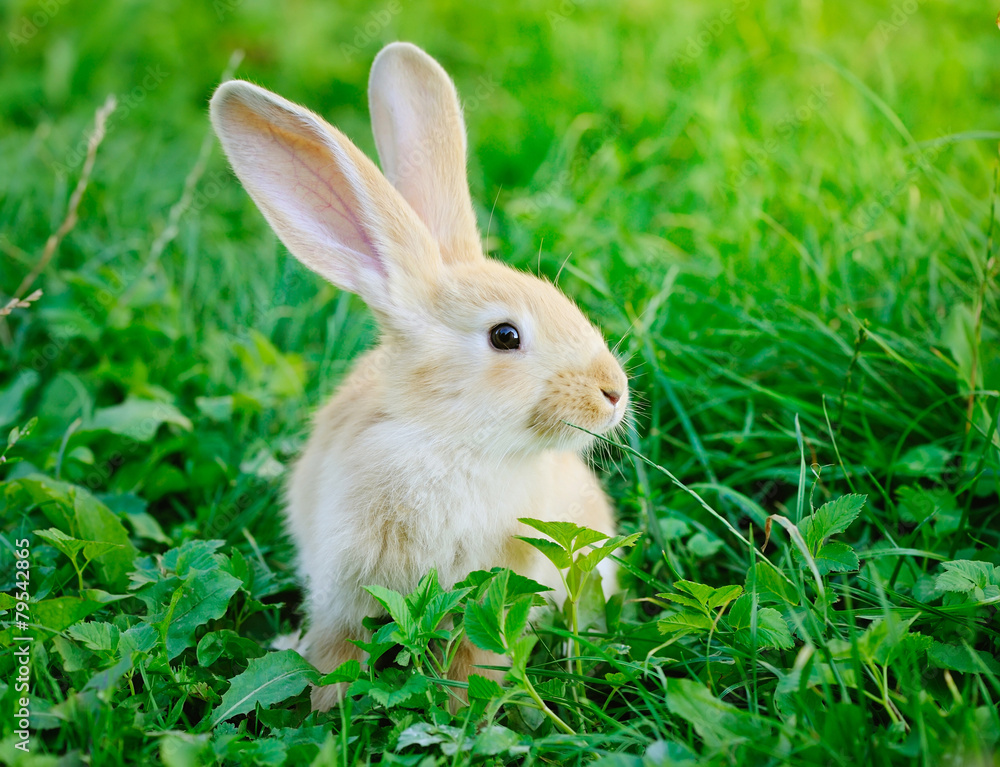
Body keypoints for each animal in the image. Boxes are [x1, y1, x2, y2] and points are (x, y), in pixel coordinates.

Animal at [209, 41, 629, 711]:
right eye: (505, 336)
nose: (613, 393)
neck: (451, 441)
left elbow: (476, 658)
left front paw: (465, 713)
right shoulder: (342, 586)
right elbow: (337, 653)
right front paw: (327, 706)